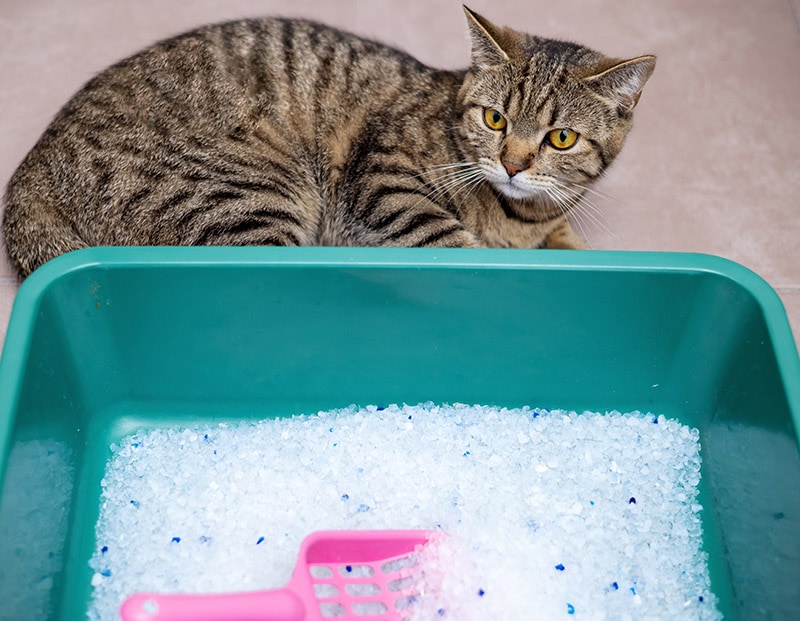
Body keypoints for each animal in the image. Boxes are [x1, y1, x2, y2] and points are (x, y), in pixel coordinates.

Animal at [1, 7, 656, 276]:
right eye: (495, 120)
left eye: (561, 138)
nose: (514, 165)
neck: (519, 218)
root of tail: (30, 176)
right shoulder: (387, 182)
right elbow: (455, 243)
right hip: (253, 195)